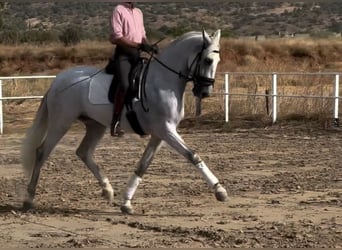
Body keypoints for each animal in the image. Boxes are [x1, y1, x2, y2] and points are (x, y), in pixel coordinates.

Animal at [20, 28, 227, 213]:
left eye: (218, 61)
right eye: (208, 60)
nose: (204, 92)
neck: (163, 81)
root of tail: (57, 81)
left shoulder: (160, 134)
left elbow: (143, 166)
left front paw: (126, 202)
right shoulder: (166, 130)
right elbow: (192, 155)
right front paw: (220, 191)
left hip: (96, 125)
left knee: (83, 152)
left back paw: (107, 190)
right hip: (61, 123)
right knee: (42, 152)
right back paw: (29, 199)